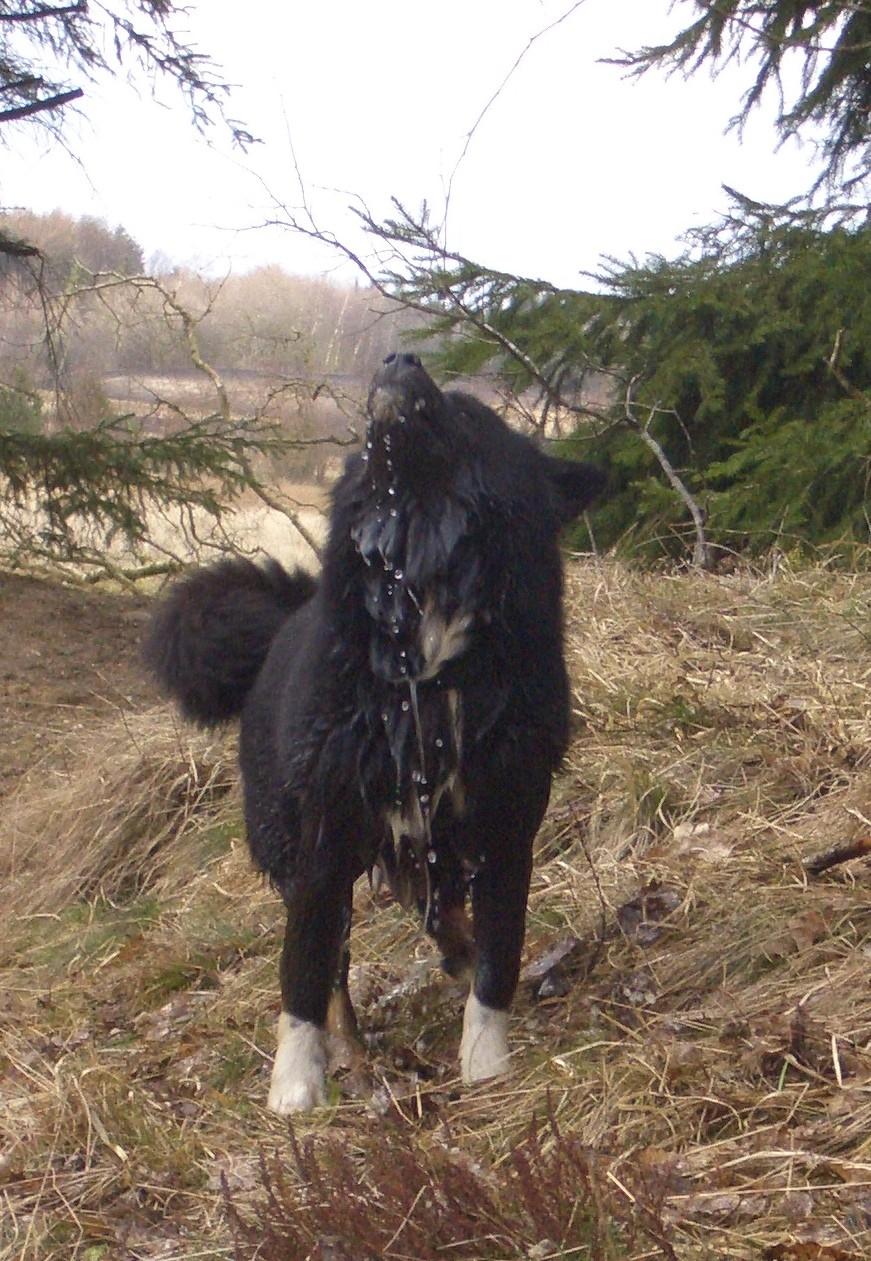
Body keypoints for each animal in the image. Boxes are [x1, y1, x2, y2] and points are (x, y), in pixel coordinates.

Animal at [144, 355, 607, 1114]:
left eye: (467, 408)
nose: (399, 360)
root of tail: (280, 622)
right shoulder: (324, 835)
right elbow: (304, 970)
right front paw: (294, 1088)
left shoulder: (507, 818)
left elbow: (499, 952)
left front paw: (487, 1065)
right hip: (298, 837)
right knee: (338, 961)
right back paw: (355, 1058)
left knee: (440, 914)